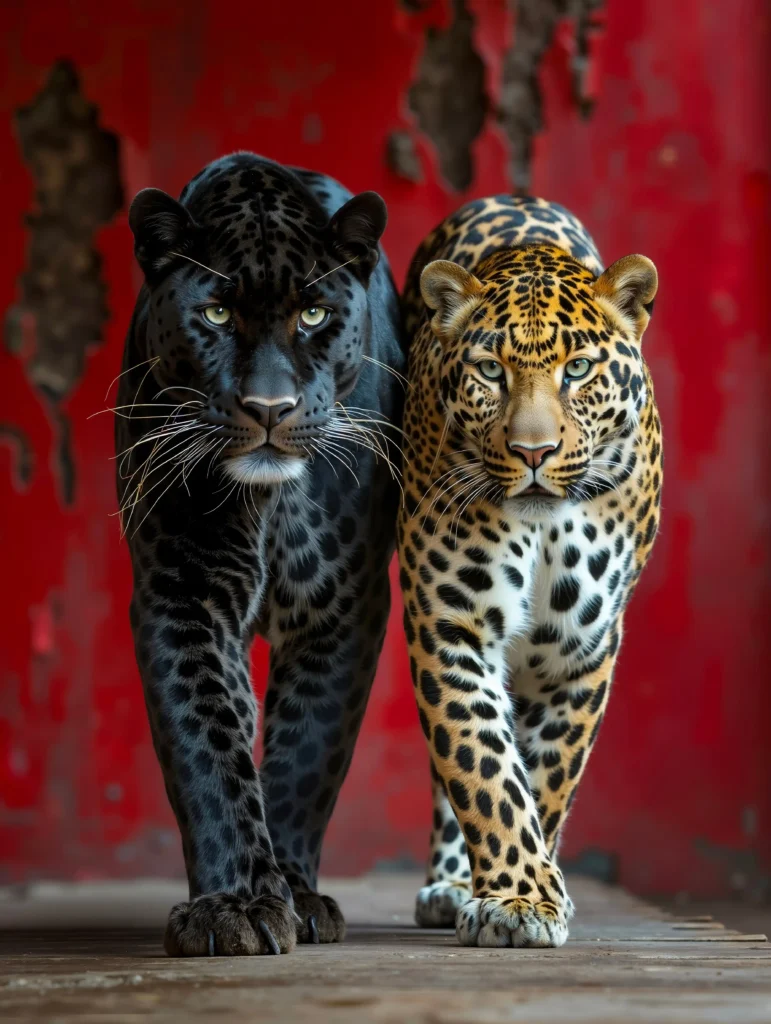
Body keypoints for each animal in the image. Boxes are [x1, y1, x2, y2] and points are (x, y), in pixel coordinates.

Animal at [116, 152, 405, 956]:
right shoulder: (180, 596)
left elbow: (308, 754)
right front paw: (236, 905)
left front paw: (295, 895)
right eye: (215, 315)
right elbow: (208, 747)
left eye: (313, 315)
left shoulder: (347, 608)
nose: (269, 409)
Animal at [397, 194, 662, 948]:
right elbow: (481, 764)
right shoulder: (448, 624)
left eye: (577, 371)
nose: (534, 451)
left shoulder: (582, 648)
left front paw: (531, 896)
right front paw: (517, 897)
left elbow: (545, 775)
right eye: (491, 371)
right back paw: (454, 882)